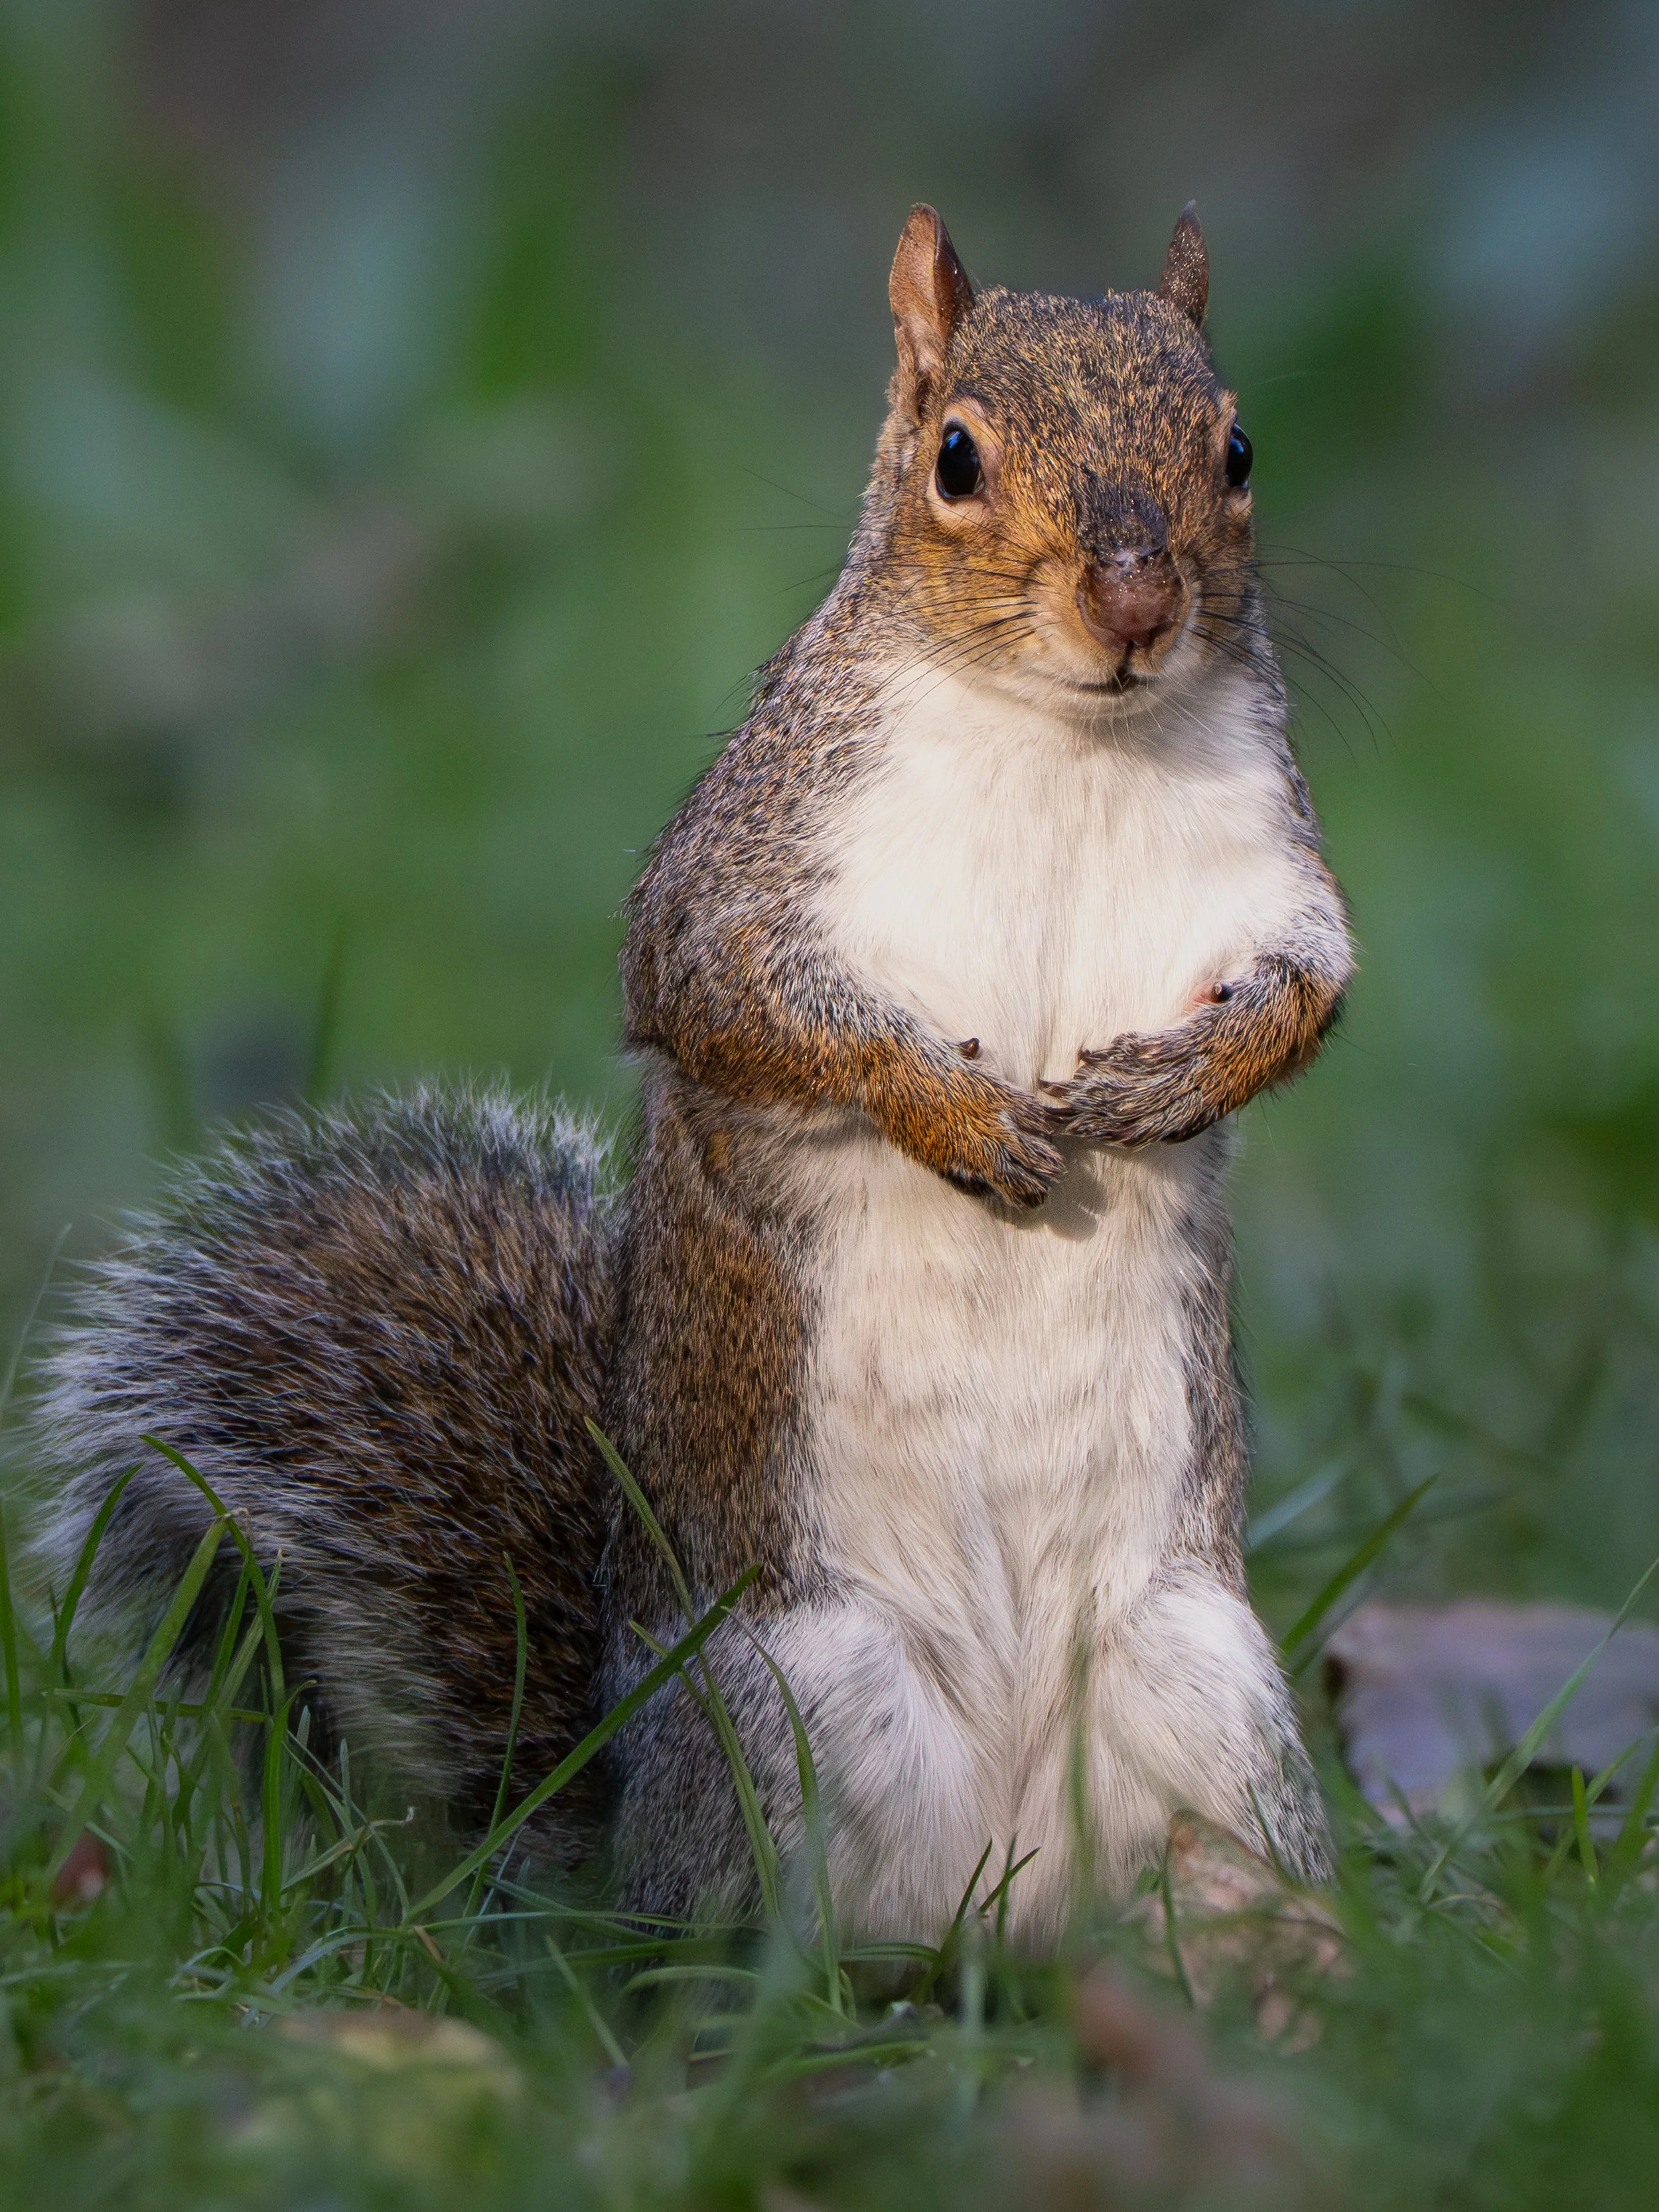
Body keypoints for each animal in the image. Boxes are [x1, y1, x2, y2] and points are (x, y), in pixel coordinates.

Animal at [29, 205, 1353, 1946]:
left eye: (1238, 449)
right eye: (954, 457)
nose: (1135, 604)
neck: (1069, 745)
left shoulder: (1266, 870)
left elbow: (1312, 989)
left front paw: (1177, 1080)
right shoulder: (740, 874)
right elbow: (733, 1004)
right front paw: (954, 1114)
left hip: (1199, 1688)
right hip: (788, 1711)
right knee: (741, 1959)